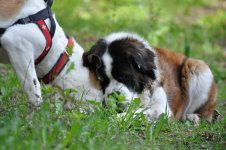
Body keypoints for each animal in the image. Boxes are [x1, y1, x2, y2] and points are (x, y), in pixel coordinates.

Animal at [83, 31, 217, 123]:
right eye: (101, 80)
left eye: (125, 76)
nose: (114, 96)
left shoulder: (161, 108)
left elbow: (137, 113)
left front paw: (114, 118)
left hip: (198, 68)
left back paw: (192, 117)